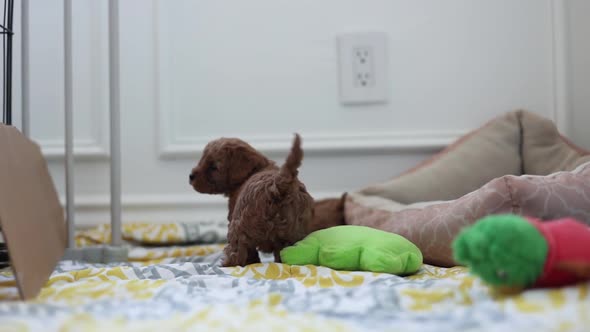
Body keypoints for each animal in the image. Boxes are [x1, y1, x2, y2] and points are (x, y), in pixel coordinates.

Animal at [192, 134, 316, 266]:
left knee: (238, 250)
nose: (191, 176)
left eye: (213, 167)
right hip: (295, 234)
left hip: (239, 227)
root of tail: (276, 187)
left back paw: (227, 263)